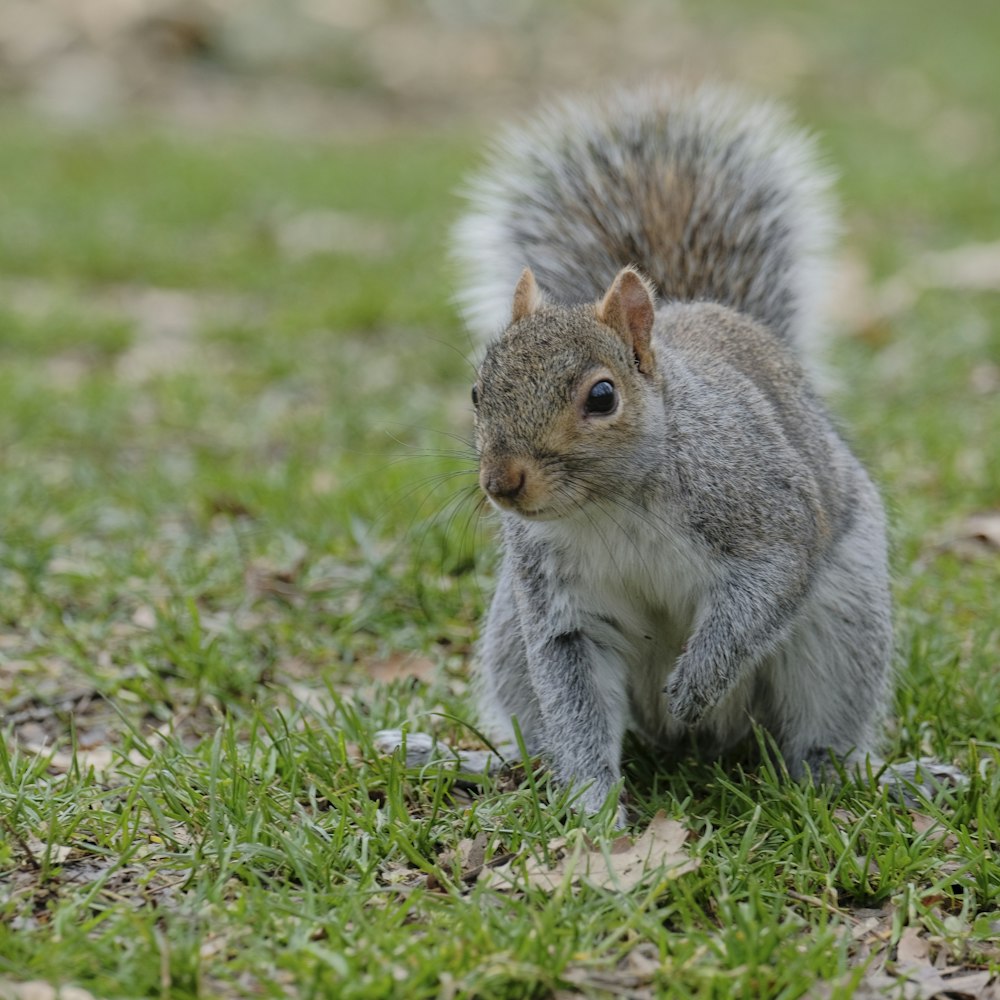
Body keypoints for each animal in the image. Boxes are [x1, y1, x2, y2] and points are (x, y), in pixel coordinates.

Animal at [376, 82, 960, 820]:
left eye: (602, 397)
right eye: (478, 391)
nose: (501, 484)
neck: (611, 505)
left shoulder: (760, 505)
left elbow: (768, 584)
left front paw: (695, 684)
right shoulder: (562, 609)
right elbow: (575, 699)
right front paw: (593, 810)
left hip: (843, 626)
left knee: (816, 754)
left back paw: (874, 777)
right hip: (511, 629)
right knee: (539, 734)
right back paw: (483, 761)